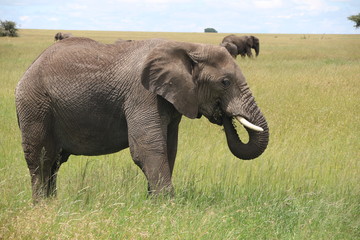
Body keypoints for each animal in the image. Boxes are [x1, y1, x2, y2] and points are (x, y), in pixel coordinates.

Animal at [15, 37, 268, 202]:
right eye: (224, 82)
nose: (224, 117)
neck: (189, 46)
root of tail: (27, 71)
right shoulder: (142, 94)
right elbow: (147, 148)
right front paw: (167, 206)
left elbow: (169, 148)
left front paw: (152, 203)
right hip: (35, 106)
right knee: (41, 159)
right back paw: (42, 207)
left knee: (54, 163)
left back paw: (53, 204)